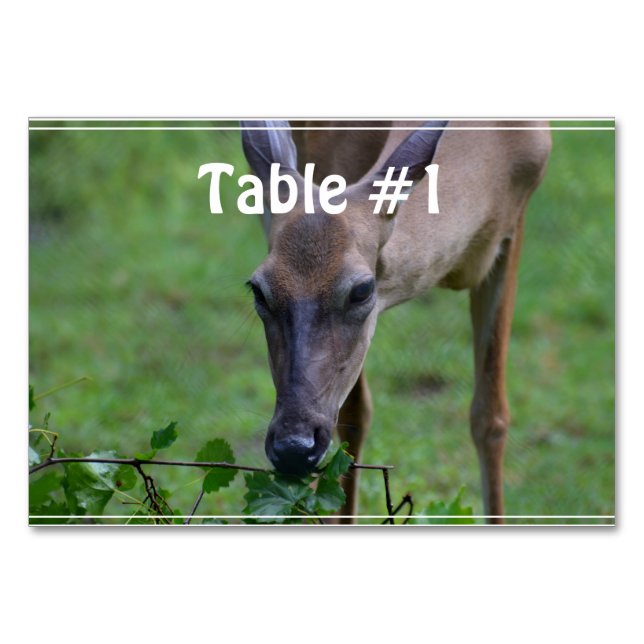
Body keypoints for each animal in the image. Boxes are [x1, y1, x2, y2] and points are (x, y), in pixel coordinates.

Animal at [240, 119, 551, 524]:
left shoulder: (514, 224)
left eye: (362, 289)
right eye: (259, 290)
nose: (294, 447)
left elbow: (491, 416)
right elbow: (354, 415)